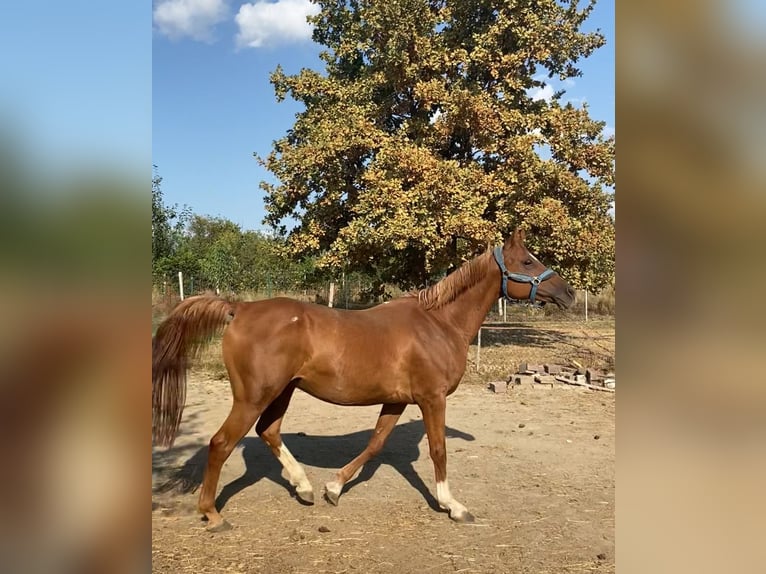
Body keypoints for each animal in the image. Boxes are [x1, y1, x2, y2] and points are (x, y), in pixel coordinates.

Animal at [153, 228, 576, 532]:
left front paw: (334, 488)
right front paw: (453, 506)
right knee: (221, 442)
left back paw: (304, 487)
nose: (569, 294)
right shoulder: (432, 398)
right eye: (528, 260)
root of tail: (239, 308)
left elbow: (375, 445)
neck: (439, 323)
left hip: (282, 391)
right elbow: (439, 450)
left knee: (268, 432)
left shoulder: (397, 400)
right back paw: (213, 515)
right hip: (253, 396)